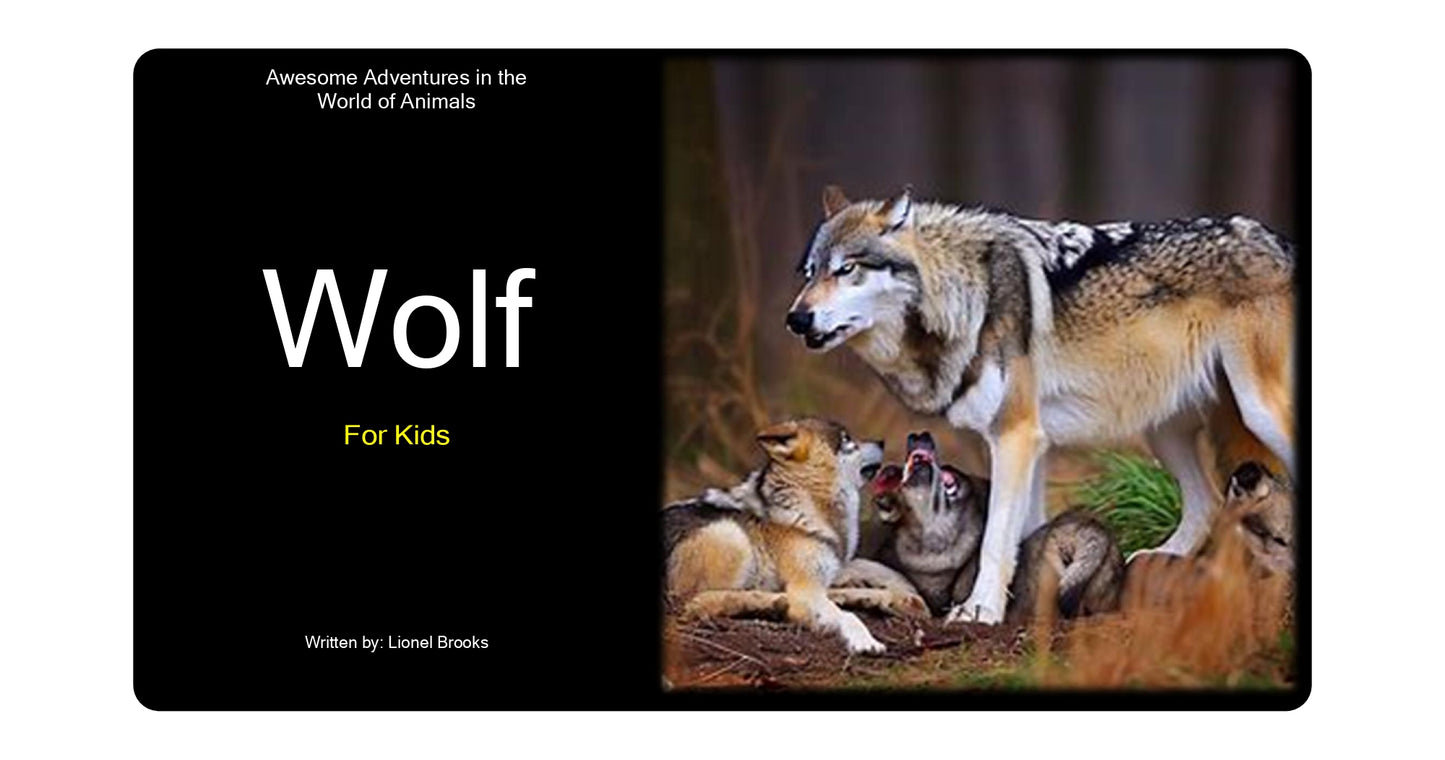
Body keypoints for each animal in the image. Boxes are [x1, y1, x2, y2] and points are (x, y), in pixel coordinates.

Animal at [663, 418, 914, 654]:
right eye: (846, 440)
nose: (882, 442)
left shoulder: (832, 562)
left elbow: (870, 565)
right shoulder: (806, 588)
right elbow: (848, 616)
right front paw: (866, 641)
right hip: (730, 533)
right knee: (699, 600)